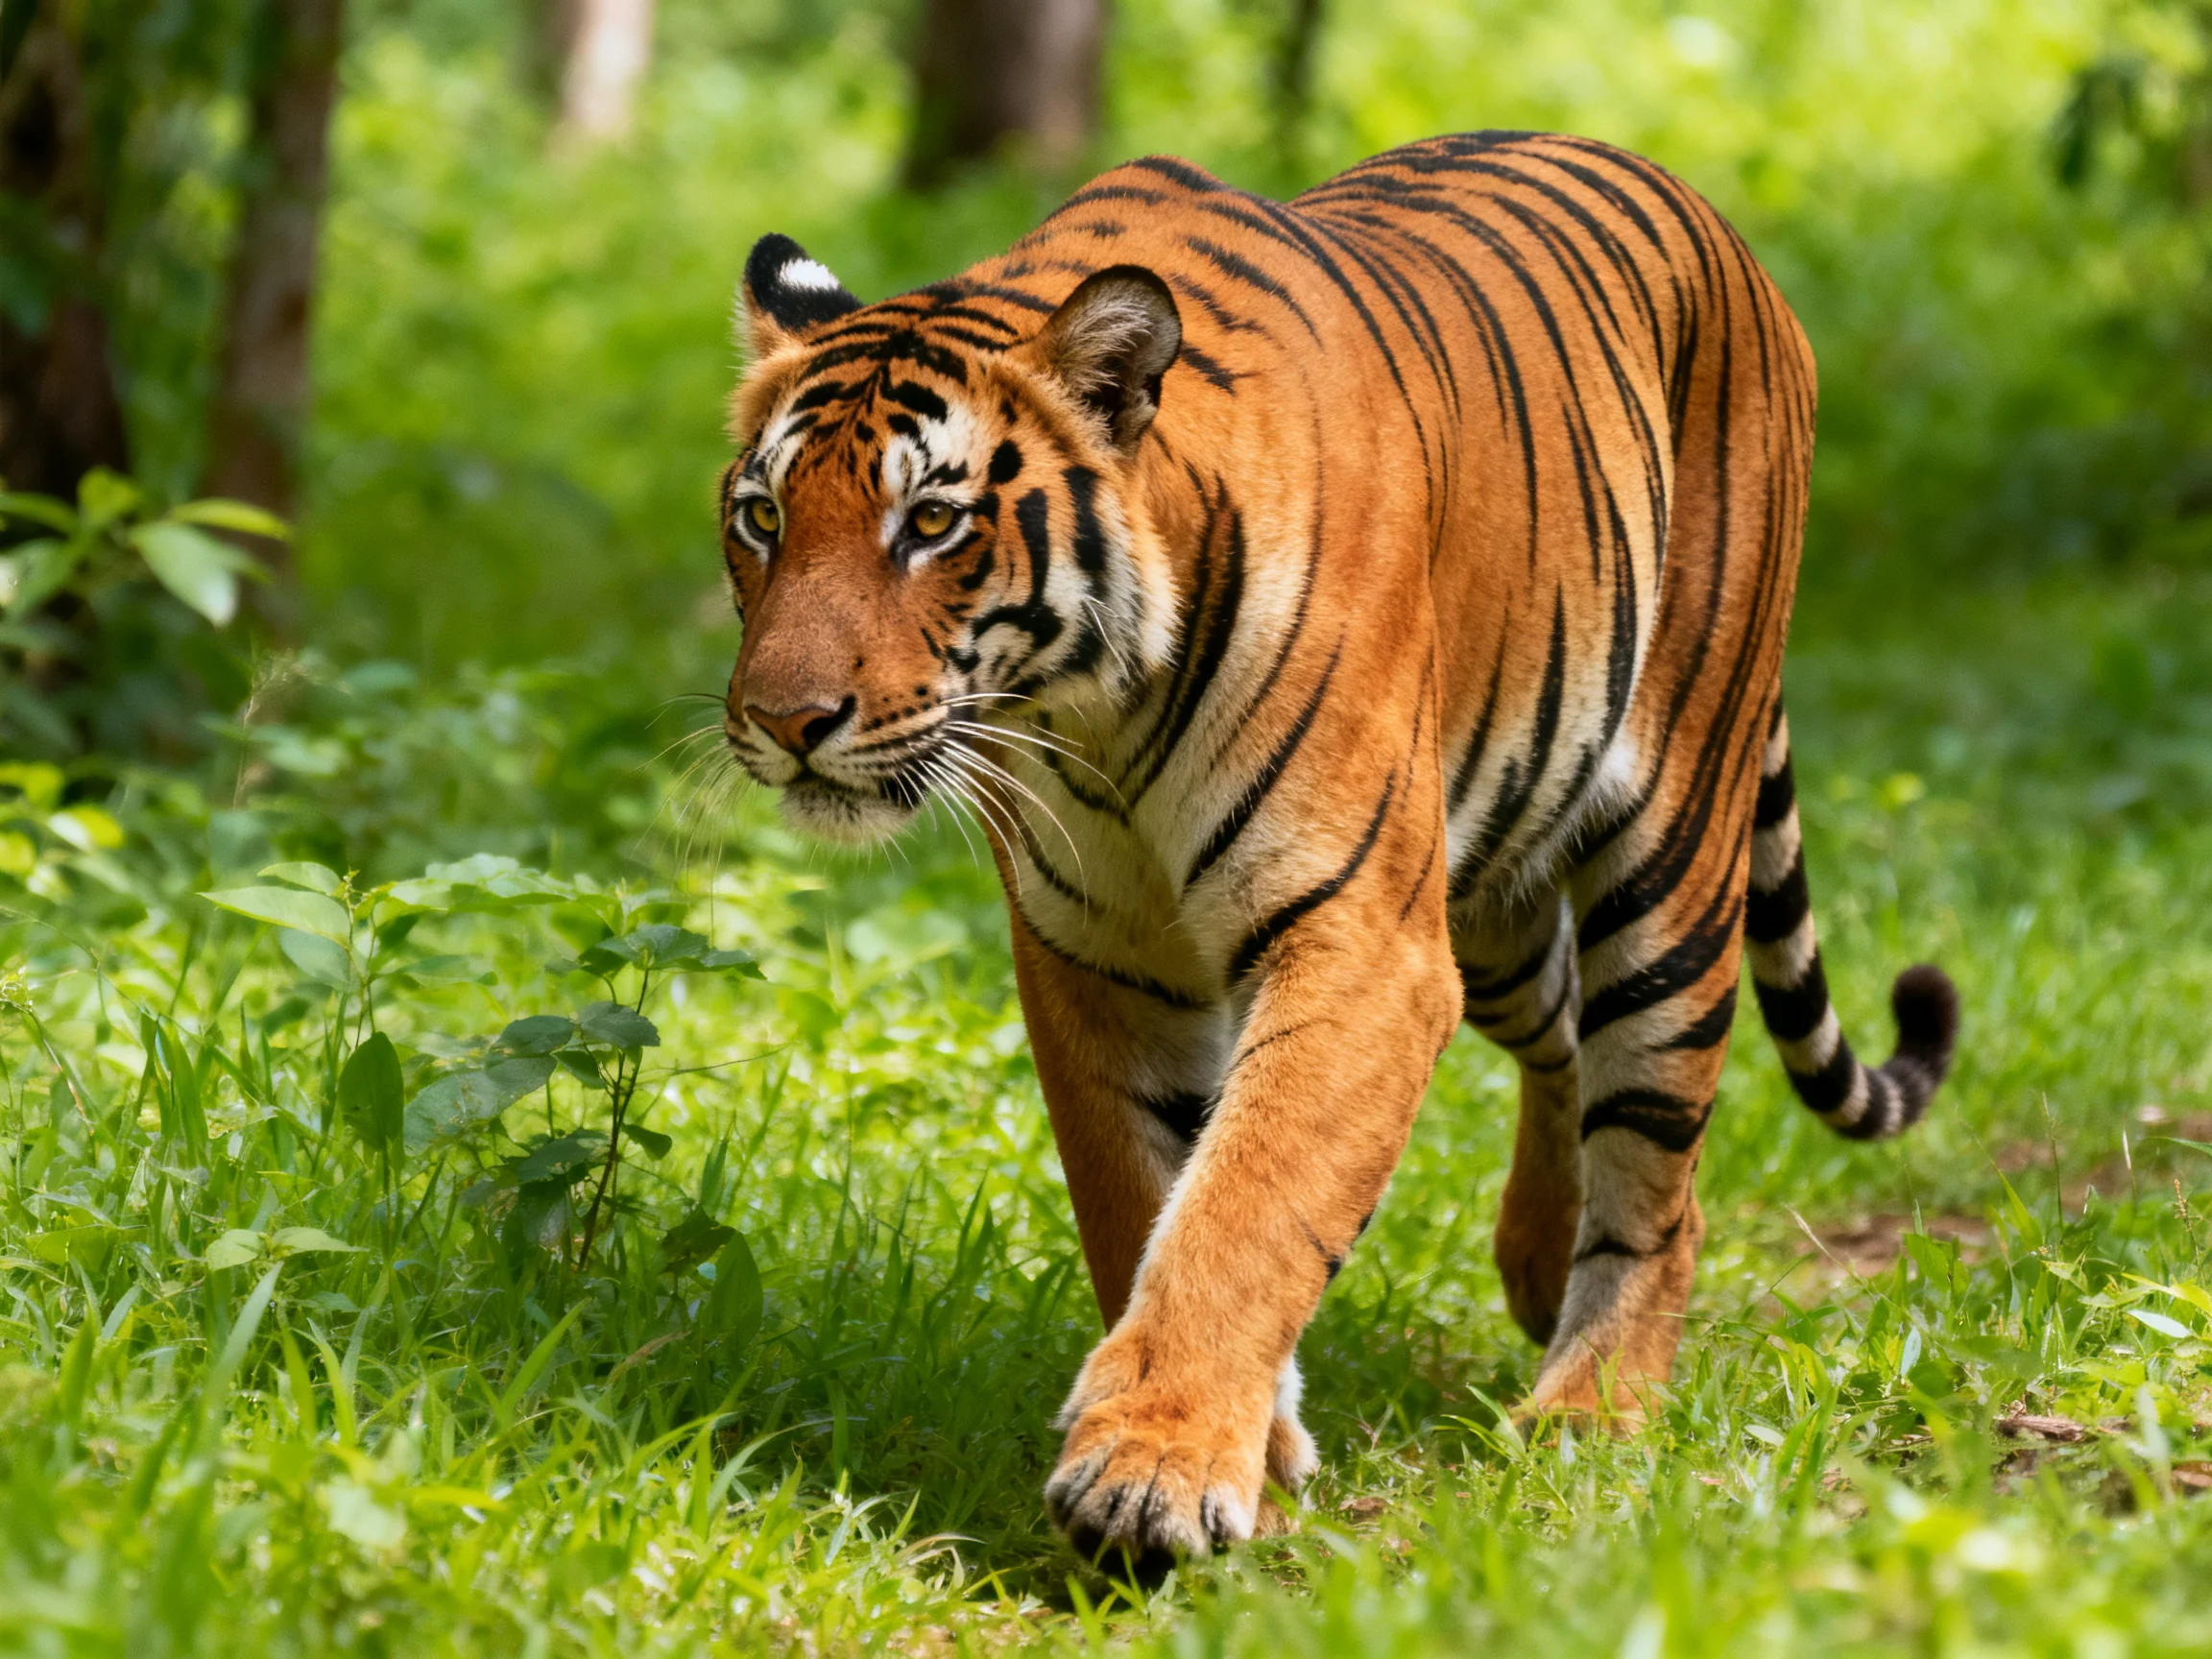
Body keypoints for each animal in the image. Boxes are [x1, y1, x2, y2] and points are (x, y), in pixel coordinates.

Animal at [716, 131, 1959, 1566]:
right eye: (762, 519)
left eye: (931, 524)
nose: (784, 721)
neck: (1092, 714)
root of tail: (1708, 217)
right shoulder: (1100, 958)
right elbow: (1142, 1197)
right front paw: (1246, 1453)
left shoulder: (1360, 944)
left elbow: (1248, 1201)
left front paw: (1151, 1472)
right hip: (1491, 894)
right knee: (1563, 1035)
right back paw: (1536, 1263)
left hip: (1671, 848)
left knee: (1657, 1160)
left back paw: (1591, 1409)